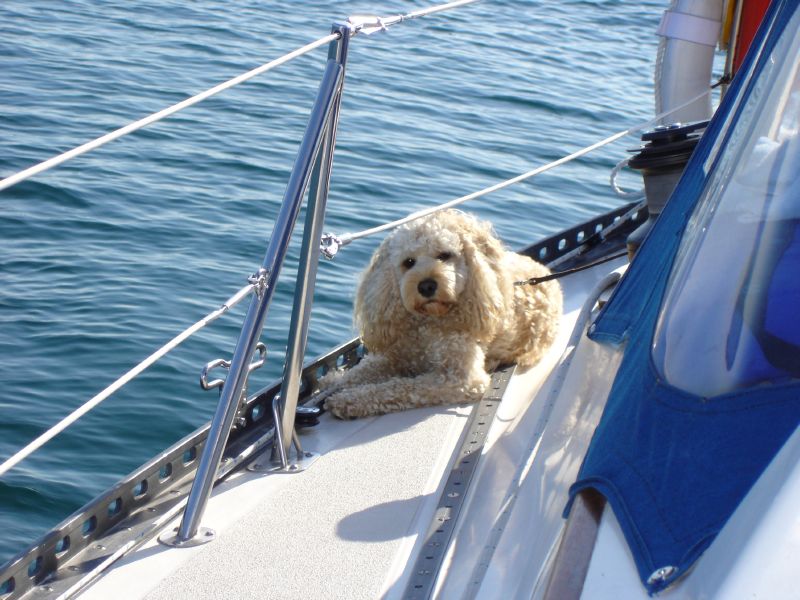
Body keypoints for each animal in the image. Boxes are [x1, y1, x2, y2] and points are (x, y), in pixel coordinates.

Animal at [320, 210, 564, 418]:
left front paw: (348, 399)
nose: (426, 286)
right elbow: (359, 372)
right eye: (408, 262)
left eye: (445, 255)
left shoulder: (460, 380)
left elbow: (400, 387)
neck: (428, 323)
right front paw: (334, 382)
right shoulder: (396, 355)